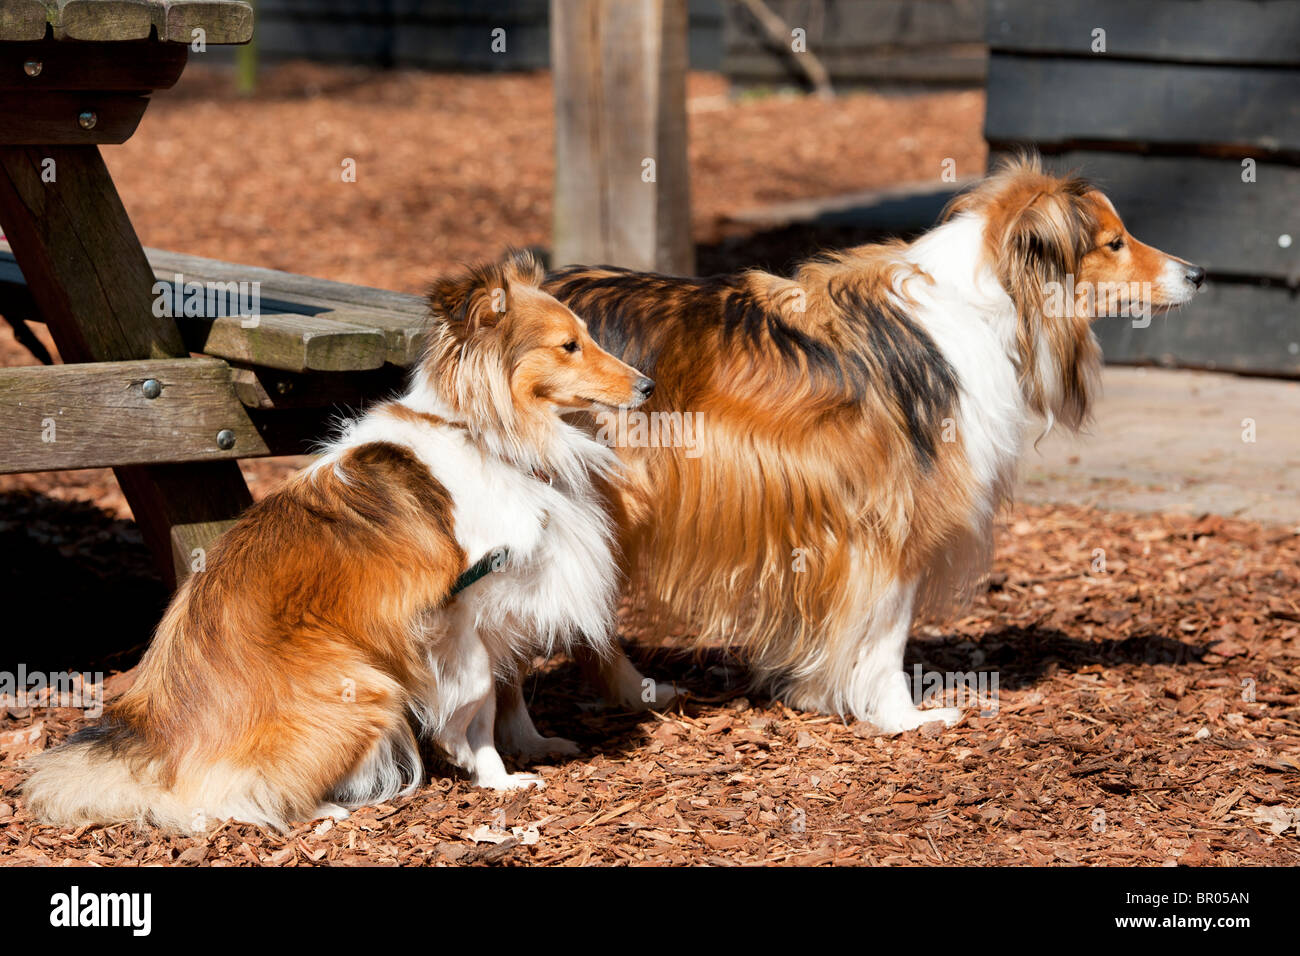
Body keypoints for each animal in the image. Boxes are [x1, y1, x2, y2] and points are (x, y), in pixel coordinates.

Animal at [24, 251, 660, 832]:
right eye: (568, 346)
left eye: (586, 338)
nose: (649, 385)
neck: (485, 433)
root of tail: (164, 748)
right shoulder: (455, 606)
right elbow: (479, 690)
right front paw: (478, 762)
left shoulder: (500, 608)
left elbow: (505, 691)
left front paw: (517, 756)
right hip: (365, 686)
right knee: (232, 795)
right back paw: (324, 809)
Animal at [543, 158, 1201, 733]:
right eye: (1114, 242)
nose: (1197, 274)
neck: (985, 304)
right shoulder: (889, 525)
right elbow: (885, 638)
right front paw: (901, 718)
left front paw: (816, 694)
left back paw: (635, 695)